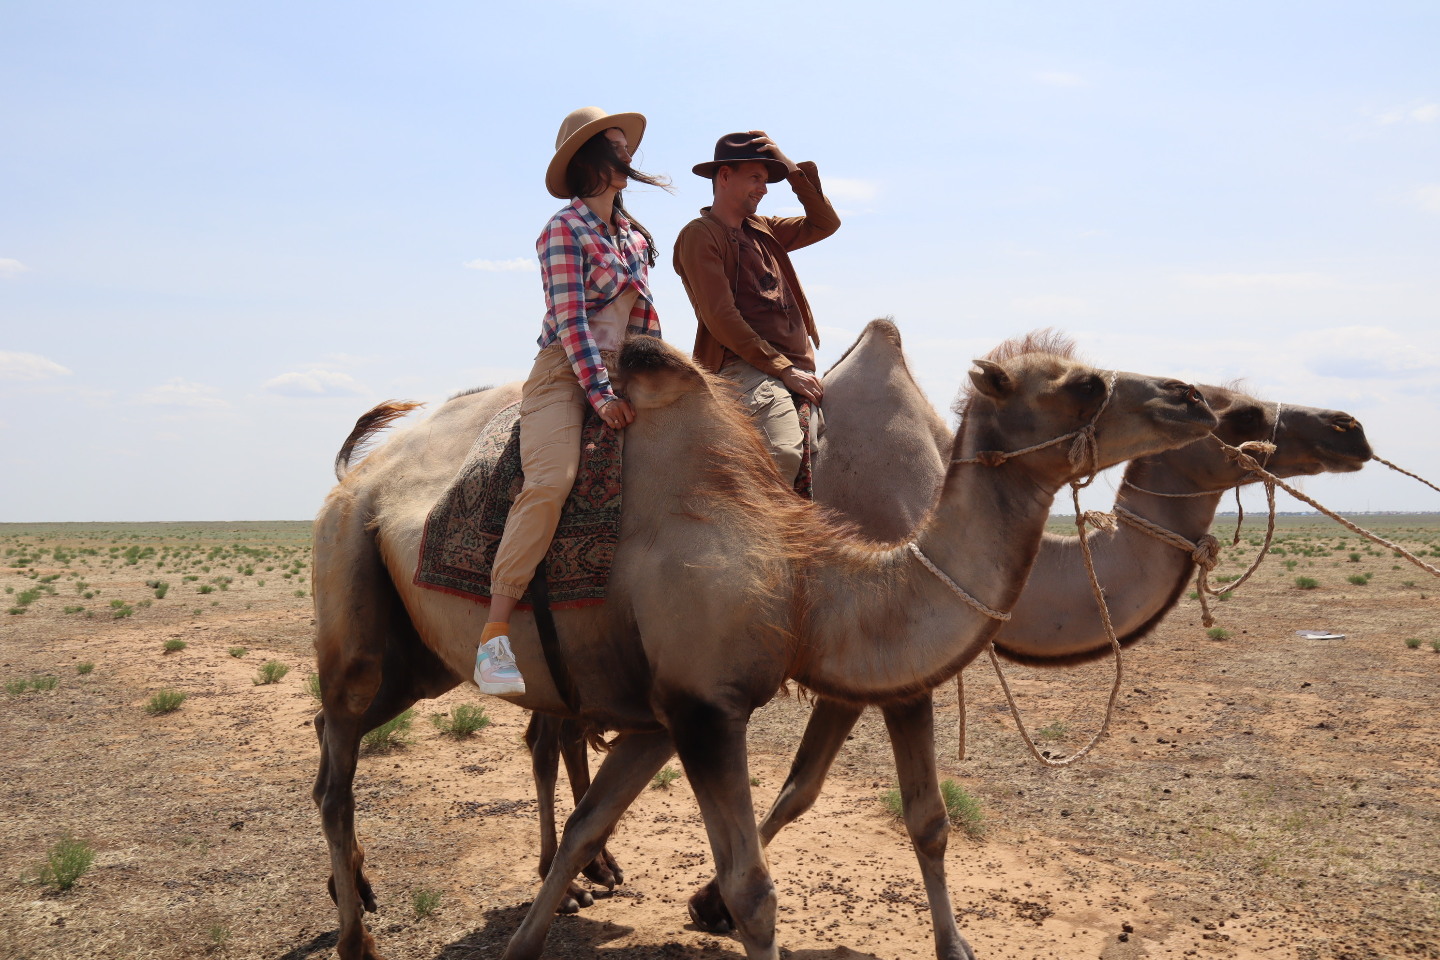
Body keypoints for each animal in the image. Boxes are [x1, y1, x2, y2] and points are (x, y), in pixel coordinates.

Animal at [315, 332, 1215, 960]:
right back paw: (357, 932)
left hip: (422, 659)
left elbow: (586, 826)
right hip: (355, 602)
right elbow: (753, 890)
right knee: (336, 761)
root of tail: (362, 466)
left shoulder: (661, 714)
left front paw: (534, 932)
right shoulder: (707, 712)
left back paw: (360, 889)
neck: (807, 585)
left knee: (360, 740)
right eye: (1082, 384)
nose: (1195, 399)